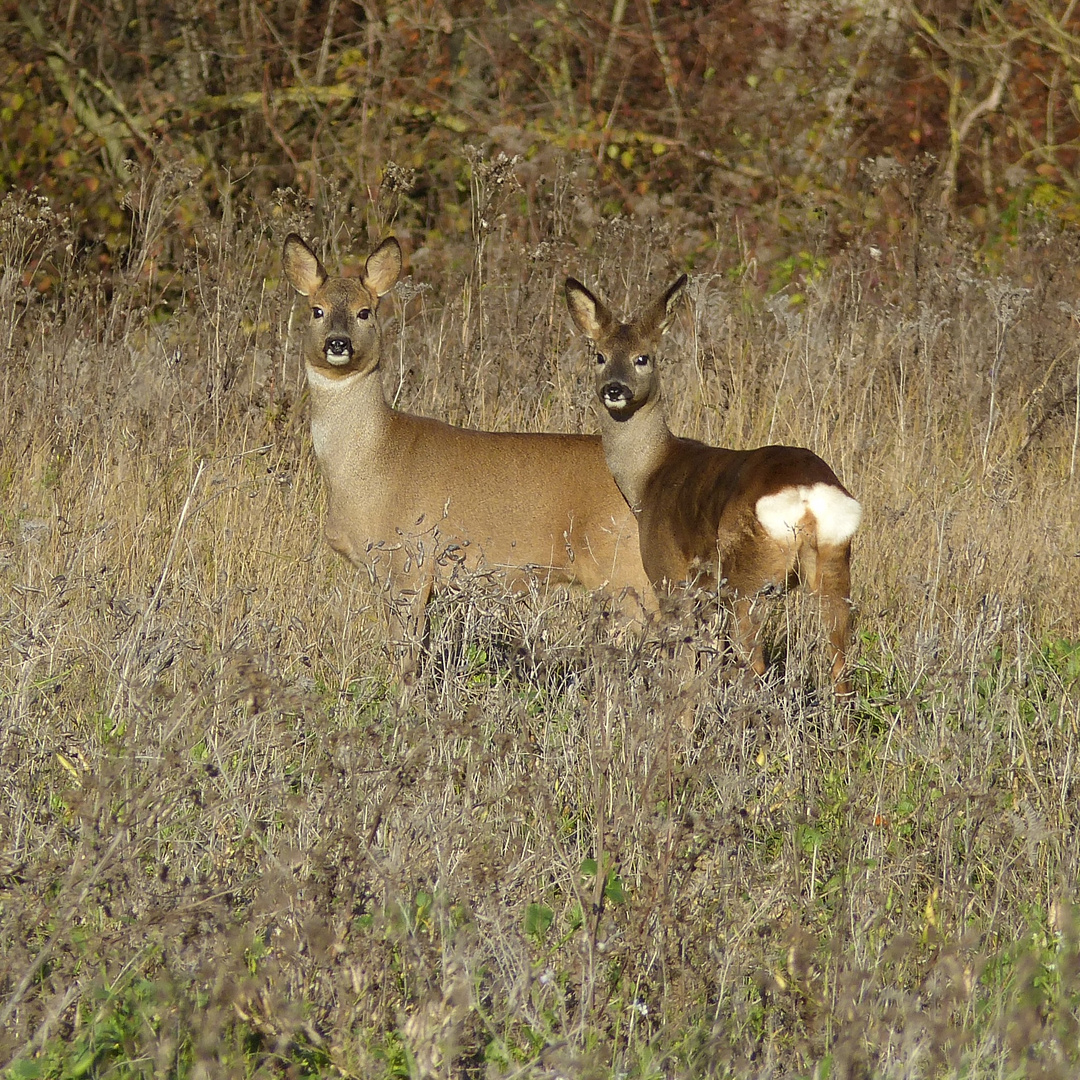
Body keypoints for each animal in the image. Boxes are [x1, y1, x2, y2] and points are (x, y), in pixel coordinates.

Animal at [280, 232, 648, 643]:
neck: (373, 459)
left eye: (365, 312)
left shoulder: (410, 561)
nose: (338, 343)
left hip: (625, 567)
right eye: (317, 310)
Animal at [565, 270, 859, 691]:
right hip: (834, 563)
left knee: (755, 665)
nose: (614, 389)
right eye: (599, 356)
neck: (648, 477)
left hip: (747, 576)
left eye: (643, 357)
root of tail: (806, 496)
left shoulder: (670, 576)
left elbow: (685, 661)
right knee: (839, 667)